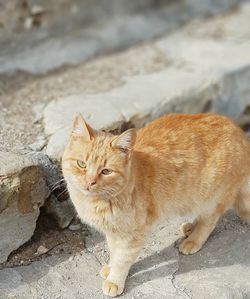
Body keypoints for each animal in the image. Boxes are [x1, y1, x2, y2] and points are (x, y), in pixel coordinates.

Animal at [62, 113, 250, 298]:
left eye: (106, 171)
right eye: (81, 164)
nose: (89, 182)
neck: (97, 202)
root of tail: (240, 134)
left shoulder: (133, 234)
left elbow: (122, 259)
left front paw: (114, 280)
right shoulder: (113, 231)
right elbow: (114, 251)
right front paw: (110, 267)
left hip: (211, 197)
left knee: (210, 221)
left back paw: (193, 240)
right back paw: (190, 227)